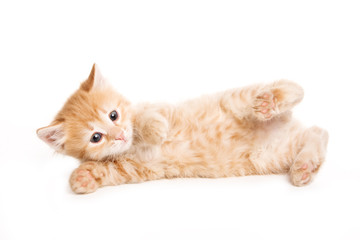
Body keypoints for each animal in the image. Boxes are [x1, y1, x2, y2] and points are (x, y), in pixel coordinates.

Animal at [37, 63, 330, 193]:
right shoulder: (137, 168)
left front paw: (154, 129)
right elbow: (108, 170)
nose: (119, 135)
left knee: (293, 89)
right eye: (96, 137)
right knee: (317, 133)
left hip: (237, 100)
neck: (132, 146)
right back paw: (304, 167)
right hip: (272, 155)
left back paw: (270, 101)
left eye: (114, 115)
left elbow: (148, 117)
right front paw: (82, 177)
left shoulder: (160, 108)